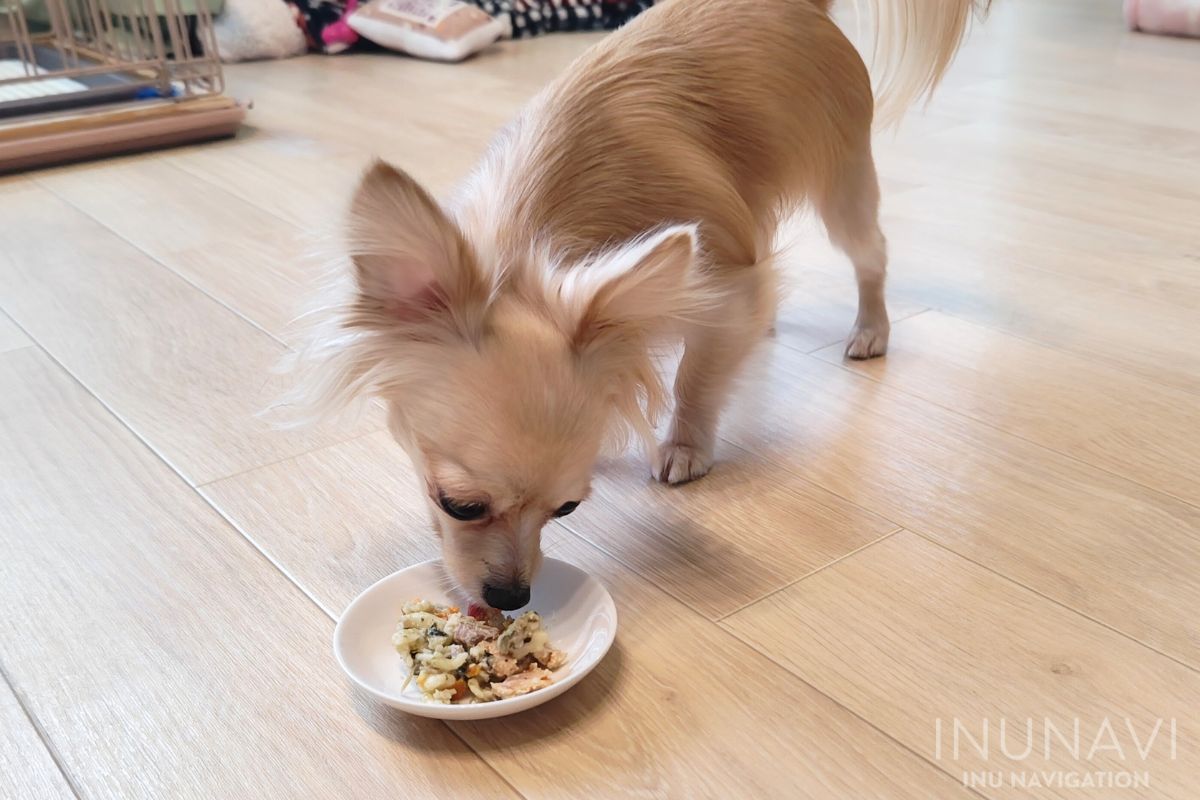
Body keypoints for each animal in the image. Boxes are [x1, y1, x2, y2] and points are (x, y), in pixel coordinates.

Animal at [290, 0, 984, 606]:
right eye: (458, 505)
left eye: (568, 509)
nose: (512, 597)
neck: (528, 238)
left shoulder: (725, 281)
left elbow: (696, 376)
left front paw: (685, 446)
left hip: (842, 182)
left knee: (871, 253)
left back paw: (871, 330)